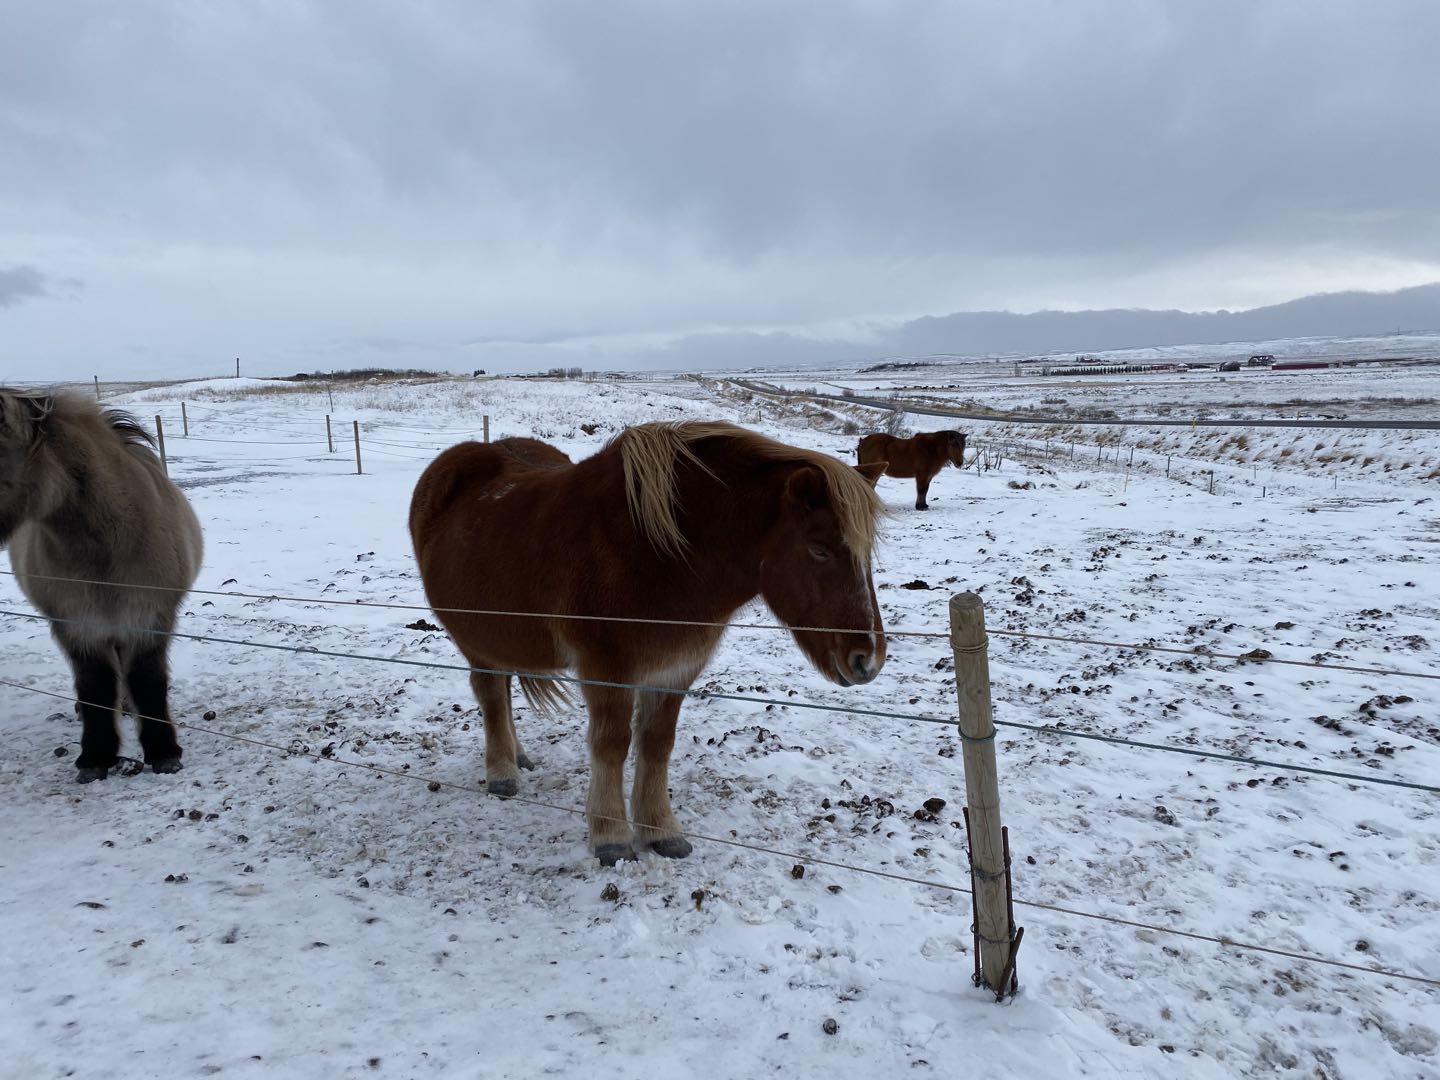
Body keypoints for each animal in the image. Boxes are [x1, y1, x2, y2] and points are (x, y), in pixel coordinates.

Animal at [0, 394, 204, 783]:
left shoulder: (148, 620)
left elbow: (148, 682)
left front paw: (164, 753)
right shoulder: (78, 627)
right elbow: (94, 686)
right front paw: (95, 757)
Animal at [406, 417, 892, 869]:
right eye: (820, 550)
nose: (867, 659)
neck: (657, 554)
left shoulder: (675, 670)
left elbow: (657, 744)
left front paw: (661, 830)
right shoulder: (607, 670)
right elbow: (611, 744)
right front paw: (611, 836)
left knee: (503, 689)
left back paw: (518, 755)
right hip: (474, 636)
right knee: (490, 693)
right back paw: (503, 772)